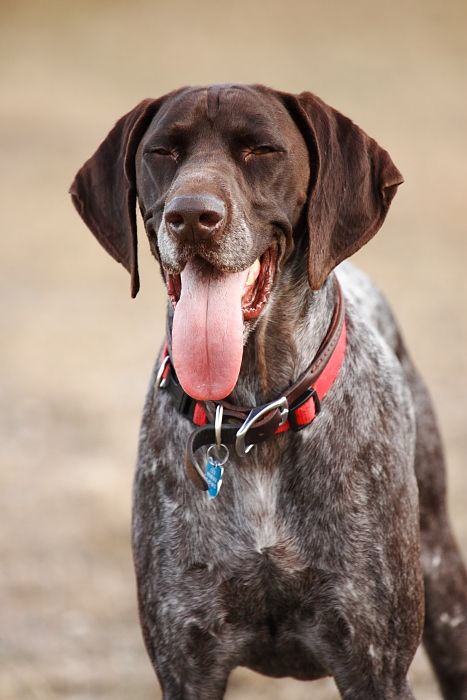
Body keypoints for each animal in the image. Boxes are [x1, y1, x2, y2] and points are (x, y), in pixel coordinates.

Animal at [70, 86, 467, 700]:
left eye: (260, 150)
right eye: (162, 152)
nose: (192, 216)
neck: (255, 417)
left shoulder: (376, 663)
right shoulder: (185, 662)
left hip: (443, 578)